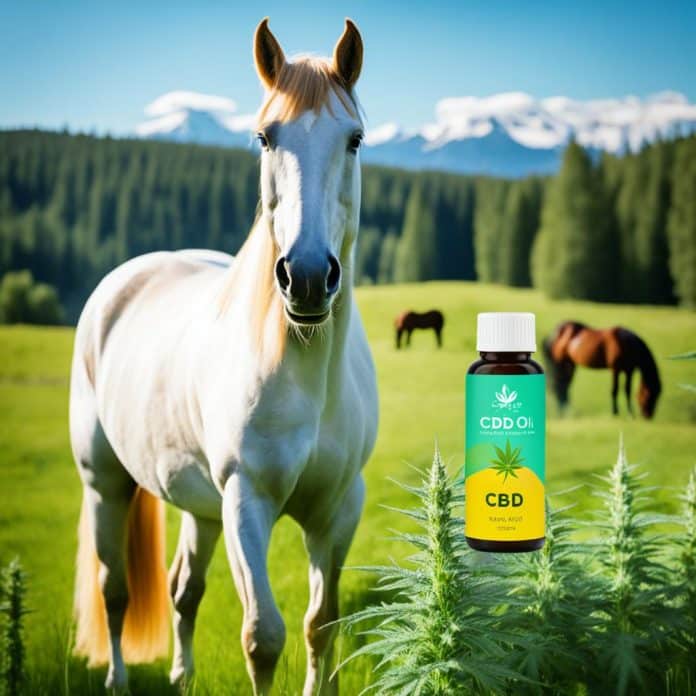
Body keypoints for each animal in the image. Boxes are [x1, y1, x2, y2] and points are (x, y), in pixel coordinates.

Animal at [69, 18, 378, 696]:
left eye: (354, 139)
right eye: (265, 136)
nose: (307, 278)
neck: (307, 376)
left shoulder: (339, 510)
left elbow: (322, 626)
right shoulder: (247, 501)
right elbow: (263, 636)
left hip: (200, 507)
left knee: (184, 589)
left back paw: (181, 674)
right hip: (107, 485)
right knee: (114, 589)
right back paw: (118, 678)